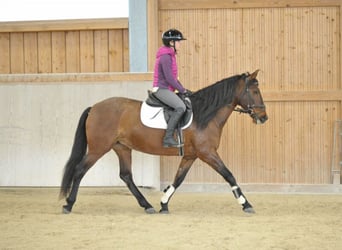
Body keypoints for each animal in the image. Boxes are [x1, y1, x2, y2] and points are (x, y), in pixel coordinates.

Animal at [59, 69, 268, 214]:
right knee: (80, 170)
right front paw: (246, 204)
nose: (264, 117)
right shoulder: (207, 153)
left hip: (122, 148)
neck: (204, 115)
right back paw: (68, 204)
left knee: (126, 176)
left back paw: (147, 205)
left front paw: (164, 204)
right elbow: (229, 175)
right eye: (255, 91)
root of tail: (94, 108)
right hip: (98, 148)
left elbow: (178, 179)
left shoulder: (191, 155)